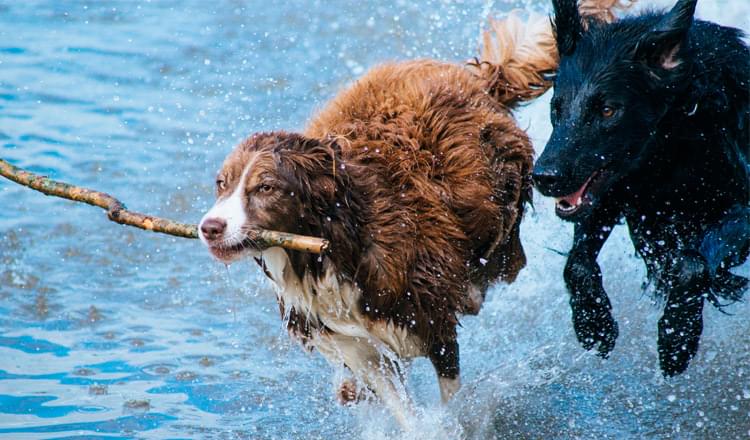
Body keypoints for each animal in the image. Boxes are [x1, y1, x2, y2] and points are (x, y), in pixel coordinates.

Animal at [536, 0, 750, 378]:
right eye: (556, 107)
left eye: (608, 110)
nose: (544, 176)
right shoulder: (613, 192)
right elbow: (577, 263)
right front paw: (594, 324)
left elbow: (692, 264)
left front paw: (677, 337)